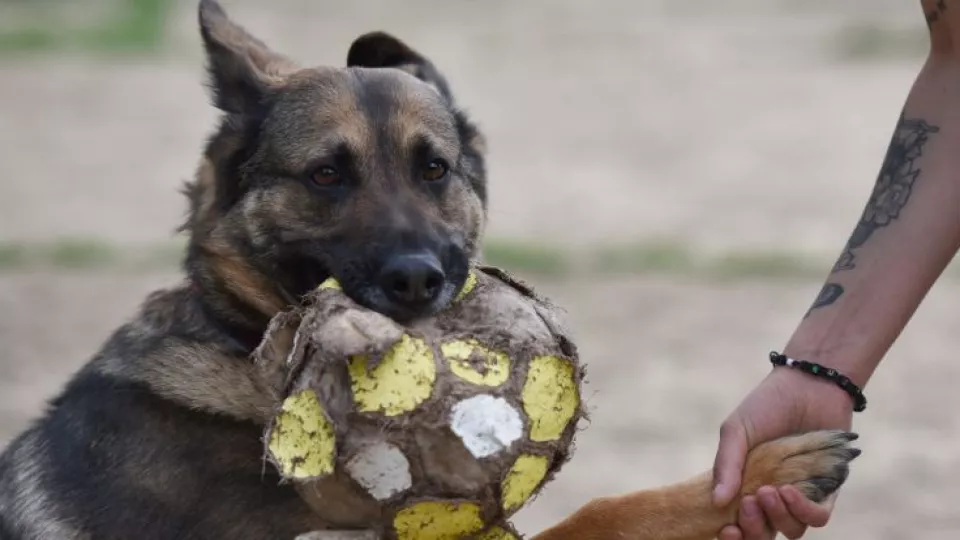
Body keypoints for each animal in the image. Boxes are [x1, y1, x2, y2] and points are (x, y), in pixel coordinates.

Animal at [0, 2, 860, 536]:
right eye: (326, 175)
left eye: (435, 169)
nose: (419, 280)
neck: (244, 345)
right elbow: (596, 515)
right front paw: (761, 470)